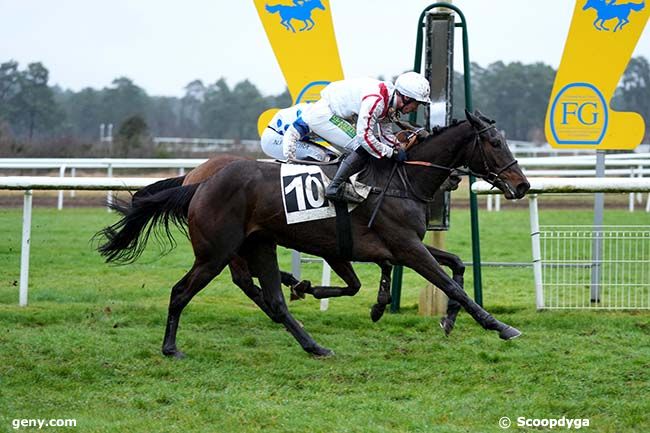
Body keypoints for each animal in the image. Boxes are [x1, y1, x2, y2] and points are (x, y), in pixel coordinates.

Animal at [98, 109, 528, 356]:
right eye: (494, 142)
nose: (522, 185)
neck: (400, 178)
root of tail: (197, 183)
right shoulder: (404, 247)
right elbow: (449, 282)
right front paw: (499, 326)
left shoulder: (401, 246)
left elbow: (455, 265)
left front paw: (448, 319)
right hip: (215, 253)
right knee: (183, 291)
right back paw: (171, 348)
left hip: (257, 245)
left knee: (270, 298)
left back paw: (313, 343)